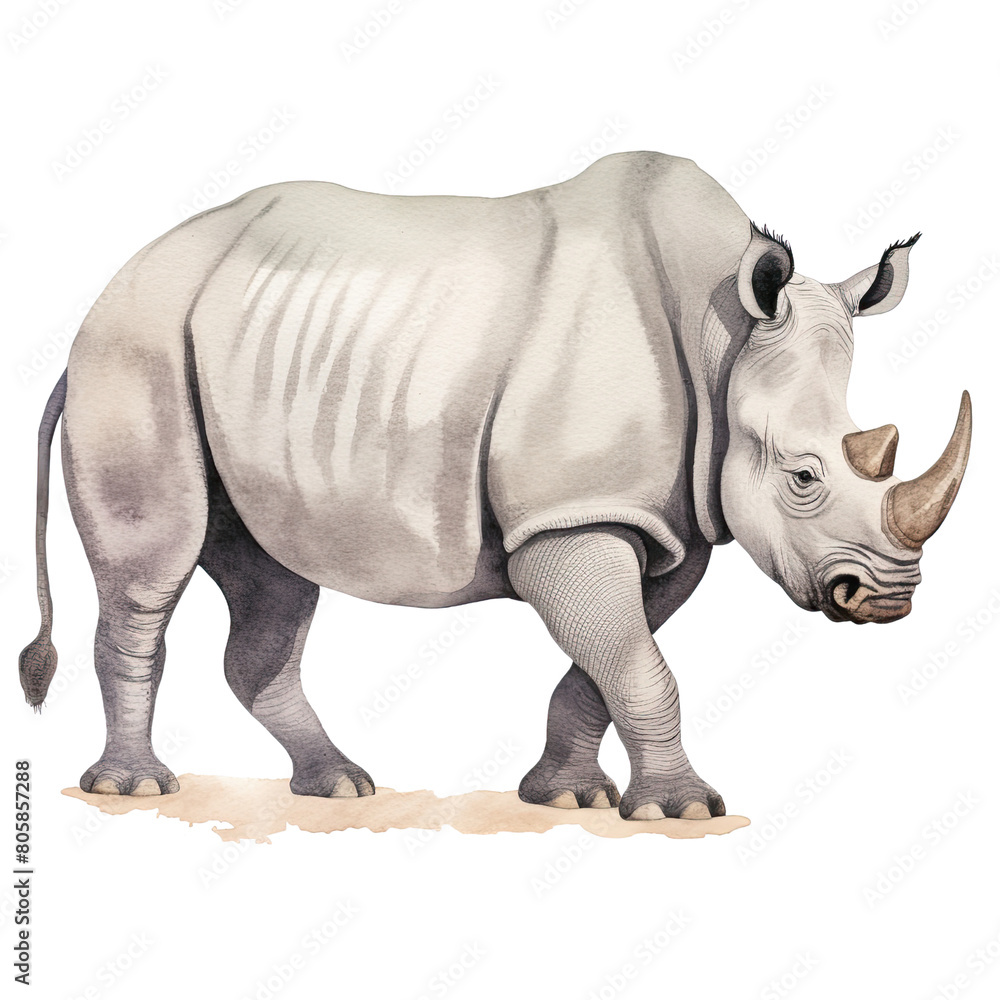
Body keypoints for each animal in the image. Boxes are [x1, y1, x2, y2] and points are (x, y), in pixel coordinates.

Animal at [20, 151, 971, 820]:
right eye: (804, 476)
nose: (886, 599)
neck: (723, 338)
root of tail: (102, 302)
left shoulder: (657, 521)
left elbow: (610, 661)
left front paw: (570, 797)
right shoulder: (570, 516)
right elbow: (637, 663)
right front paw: (686, 810)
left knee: (273, 578)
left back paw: (339, 787)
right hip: (139, 346)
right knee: (154, 572)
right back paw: (137, 790)